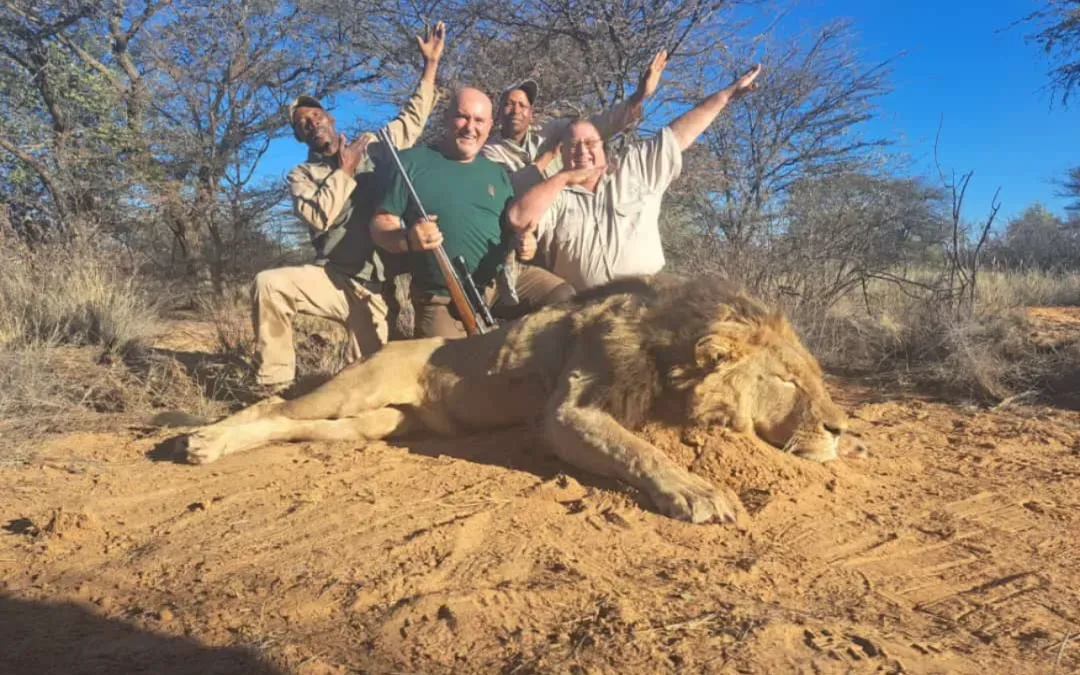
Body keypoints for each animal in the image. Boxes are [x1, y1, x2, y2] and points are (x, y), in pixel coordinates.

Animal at [174, 274, 852, 524]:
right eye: (787, 382)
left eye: (817, 379)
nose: (842, 430)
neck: (669, 344)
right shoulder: (568, 411)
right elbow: (641, 451)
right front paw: (700, 493)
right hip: (356, 388)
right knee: (275, 408)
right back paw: (204, 442)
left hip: (376, 425)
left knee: (291, 427)